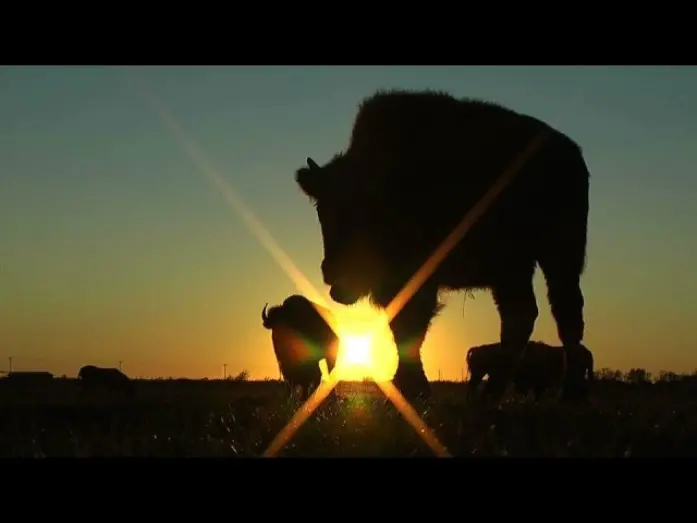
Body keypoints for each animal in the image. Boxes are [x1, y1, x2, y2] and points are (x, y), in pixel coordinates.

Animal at [295, 89, 591, 402]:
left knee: (566, 311)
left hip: (560, 257)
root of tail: (572, 153)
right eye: (322, 209)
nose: (332, 271)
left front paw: (415, 389)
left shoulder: (417, 276)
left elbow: (411, 326)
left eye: (365, 211)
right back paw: (491, 395)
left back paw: (570, 393)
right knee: (521, 316)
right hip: (512, 270)